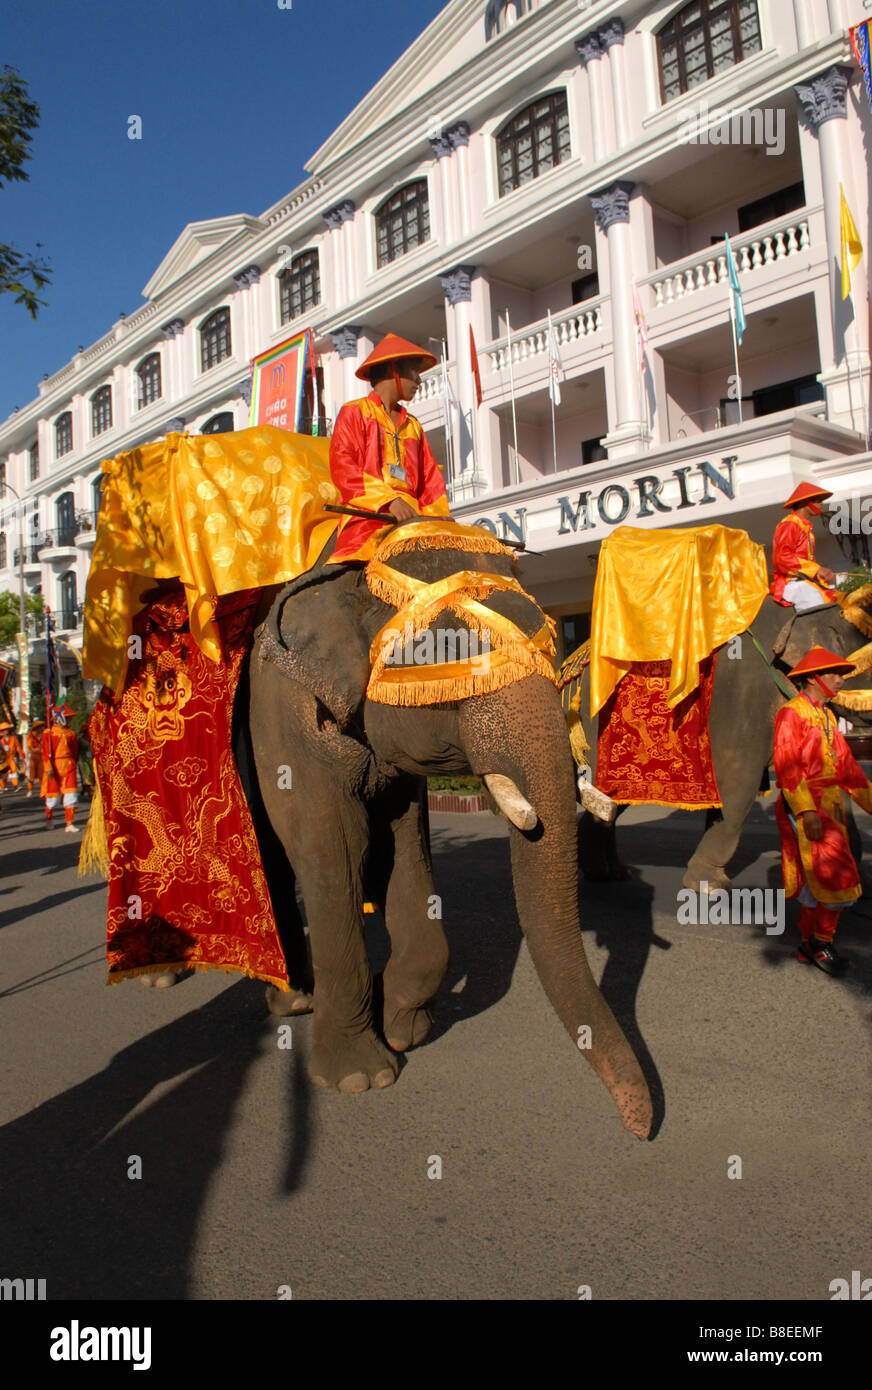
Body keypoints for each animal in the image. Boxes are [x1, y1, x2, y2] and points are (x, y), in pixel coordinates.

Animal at [246, 522, 656, 1139]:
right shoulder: (287, 717)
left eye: (551, 647)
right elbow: (336, 849)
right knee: (273, 862)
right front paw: (361, 1079)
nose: (642, 1126)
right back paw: (288, 1000)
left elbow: (405, 848)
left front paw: (404, 1029)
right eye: (444, 655)